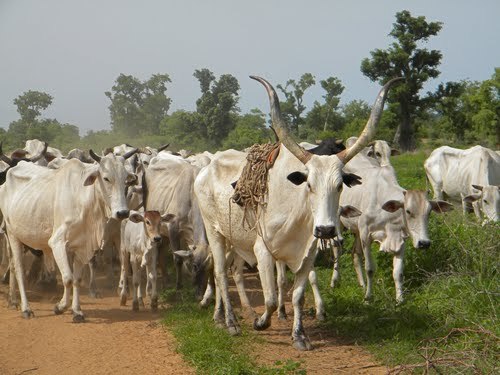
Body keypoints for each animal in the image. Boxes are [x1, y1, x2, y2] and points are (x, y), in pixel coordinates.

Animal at [0, 150, 137, 320]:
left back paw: (14, 301)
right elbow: (68, 278)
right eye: (106, 178)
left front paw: (77, 311)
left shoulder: (81, 246)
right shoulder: (57, 243)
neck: (83, 199)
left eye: (125, 180)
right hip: (12, 235)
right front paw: (60, 307)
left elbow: (77, 279)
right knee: (18, 269)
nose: (122, 213)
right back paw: (25, 308)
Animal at [193, 75, 400, 352]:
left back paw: (221, 315)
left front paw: (300, 336)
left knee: (226, 270)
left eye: (340, 185)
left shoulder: (307, 253)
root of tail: (206, 168)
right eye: (308, 184)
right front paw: (261, 322)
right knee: (219, 274)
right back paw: (231, 322)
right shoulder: (262, 250)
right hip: (214, 231)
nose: (326, 230)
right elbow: (270, 299)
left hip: (234, 239)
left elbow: (299, 295)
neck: (297, 213)